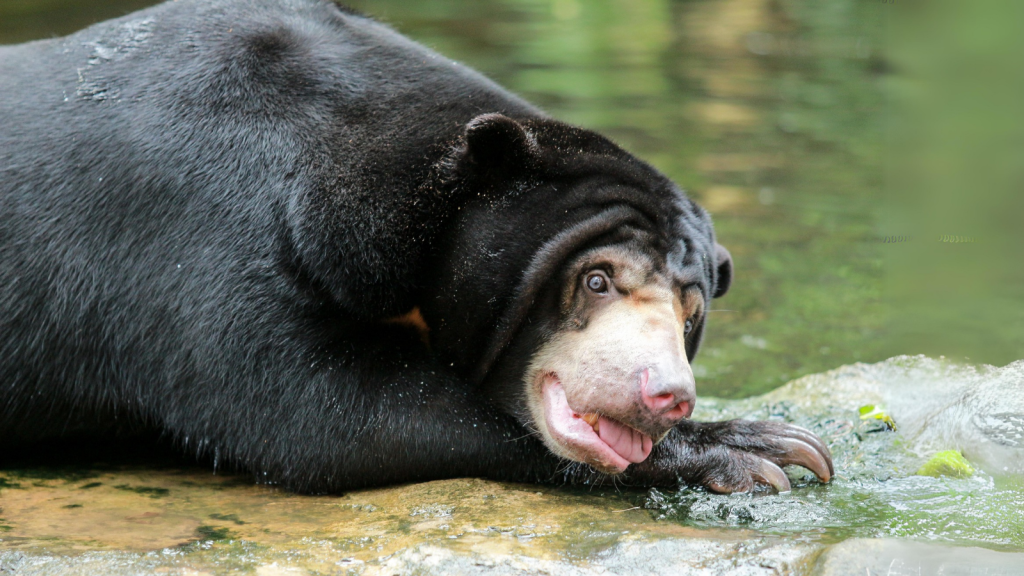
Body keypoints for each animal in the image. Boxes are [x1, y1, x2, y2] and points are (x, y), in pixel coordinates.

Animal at [0, 0, 827, 491]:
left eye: (689, 314)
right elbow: (313, 411)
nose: (667, 395)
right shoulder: (197, 231)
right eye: (596, 280)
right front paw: (750, 450)